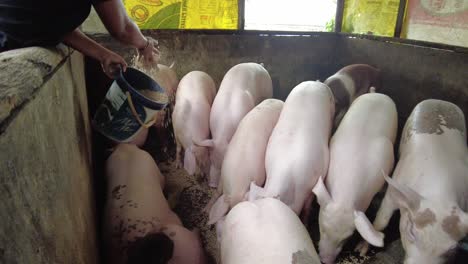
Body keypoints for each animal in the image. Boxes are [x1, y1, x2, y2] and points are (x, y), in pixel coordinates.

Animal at [354, 99, 468, 264]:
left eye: (452, 249)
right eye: (412, 232)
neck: (439, 195)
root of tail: (440, 101)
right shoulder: (395, 187)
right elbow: (381, 220)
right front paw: (361, 250)